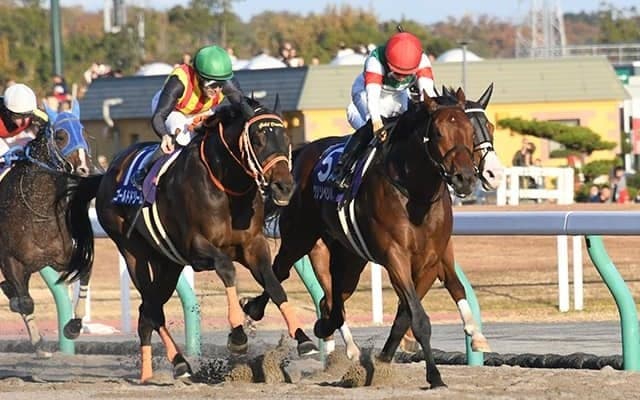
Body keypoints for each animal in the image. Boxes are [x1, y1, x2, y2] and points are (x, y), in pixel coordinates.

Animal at [0, 103, 100, 357]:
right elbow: (25, 302)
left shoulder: (63, 255)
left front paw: (74, 326)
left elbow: (84, 273)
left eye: (84, 133)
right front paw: (40, 345)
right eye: (61, 136)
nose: (85, 169)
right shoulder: (10, 260)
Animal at [94, 98, 318, 383]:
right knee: (151, 309)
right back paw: (171, 365)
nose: (284, 187)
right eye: (257, 140)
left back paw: (160, 369)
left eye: (286, 138)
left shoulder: (253, 246)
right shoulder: (197, 247)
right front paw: (237, 335)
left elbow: (274, 283)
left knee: (148, 311)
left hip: (168, 263)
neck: (227, 187)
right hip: (134, 252)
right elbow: (227, 269)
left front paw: (303, 338)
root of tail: (109, 171)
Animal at [243, 88, 477, 388]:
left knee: (333, 298)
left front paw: (382, 361)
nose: (464, 178)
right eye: (437, 132)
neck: (416, 194)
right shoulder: (395, 256)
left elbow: (405, 317)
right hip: (300, 236)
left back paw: (326, 325)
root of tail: (304, 152)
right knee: (279, 271)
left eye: (470, 130)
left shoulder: (429, 262)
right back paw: (255, 310)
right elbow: (419, 319)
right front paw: (435, 376)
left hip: (350, 256)